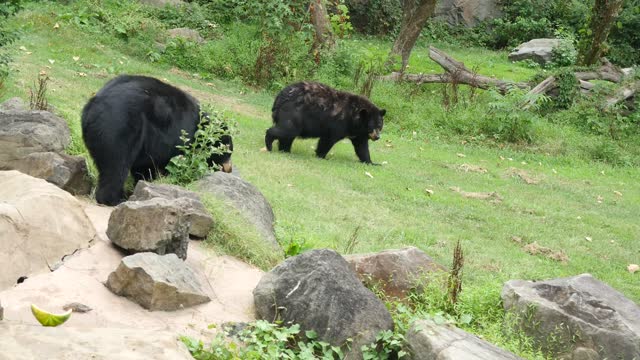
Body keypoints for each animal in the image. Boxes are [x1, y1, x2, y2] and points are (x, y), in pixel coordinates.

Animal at [81, 74, 232, 205]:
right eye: (227, 151)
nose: (229, 169)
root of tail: (92, 106)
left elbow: (145, 166)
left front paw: (144, 185)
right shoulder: (177, 135)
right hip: (120, 128)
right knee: (116, 164)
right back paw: (115, 199)